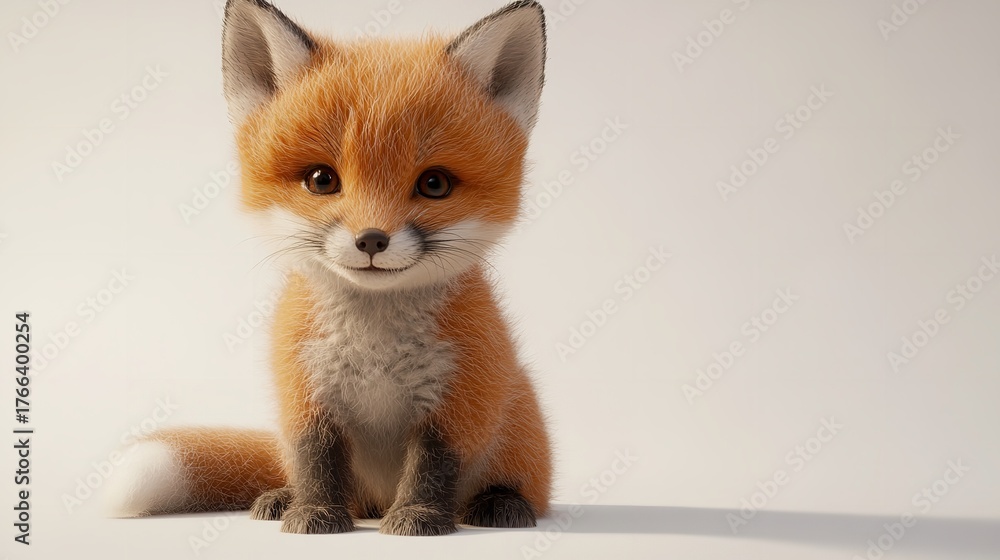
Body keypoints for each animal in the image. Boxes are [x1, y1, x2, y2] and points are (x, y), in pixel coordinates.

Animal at [104, 0, 552, 536]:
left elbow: (432, 467)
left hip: (516, 426)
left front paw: (419, 518)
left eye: (435, 184)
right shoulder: (304, 391)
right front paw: (315, 513)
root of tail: (376, 498)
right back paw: (286, 497)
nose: (372, 240)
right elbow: (316, 461)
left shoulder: (463, 395)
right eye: (322, 179)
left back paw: (500, 502)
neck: (375, 349)